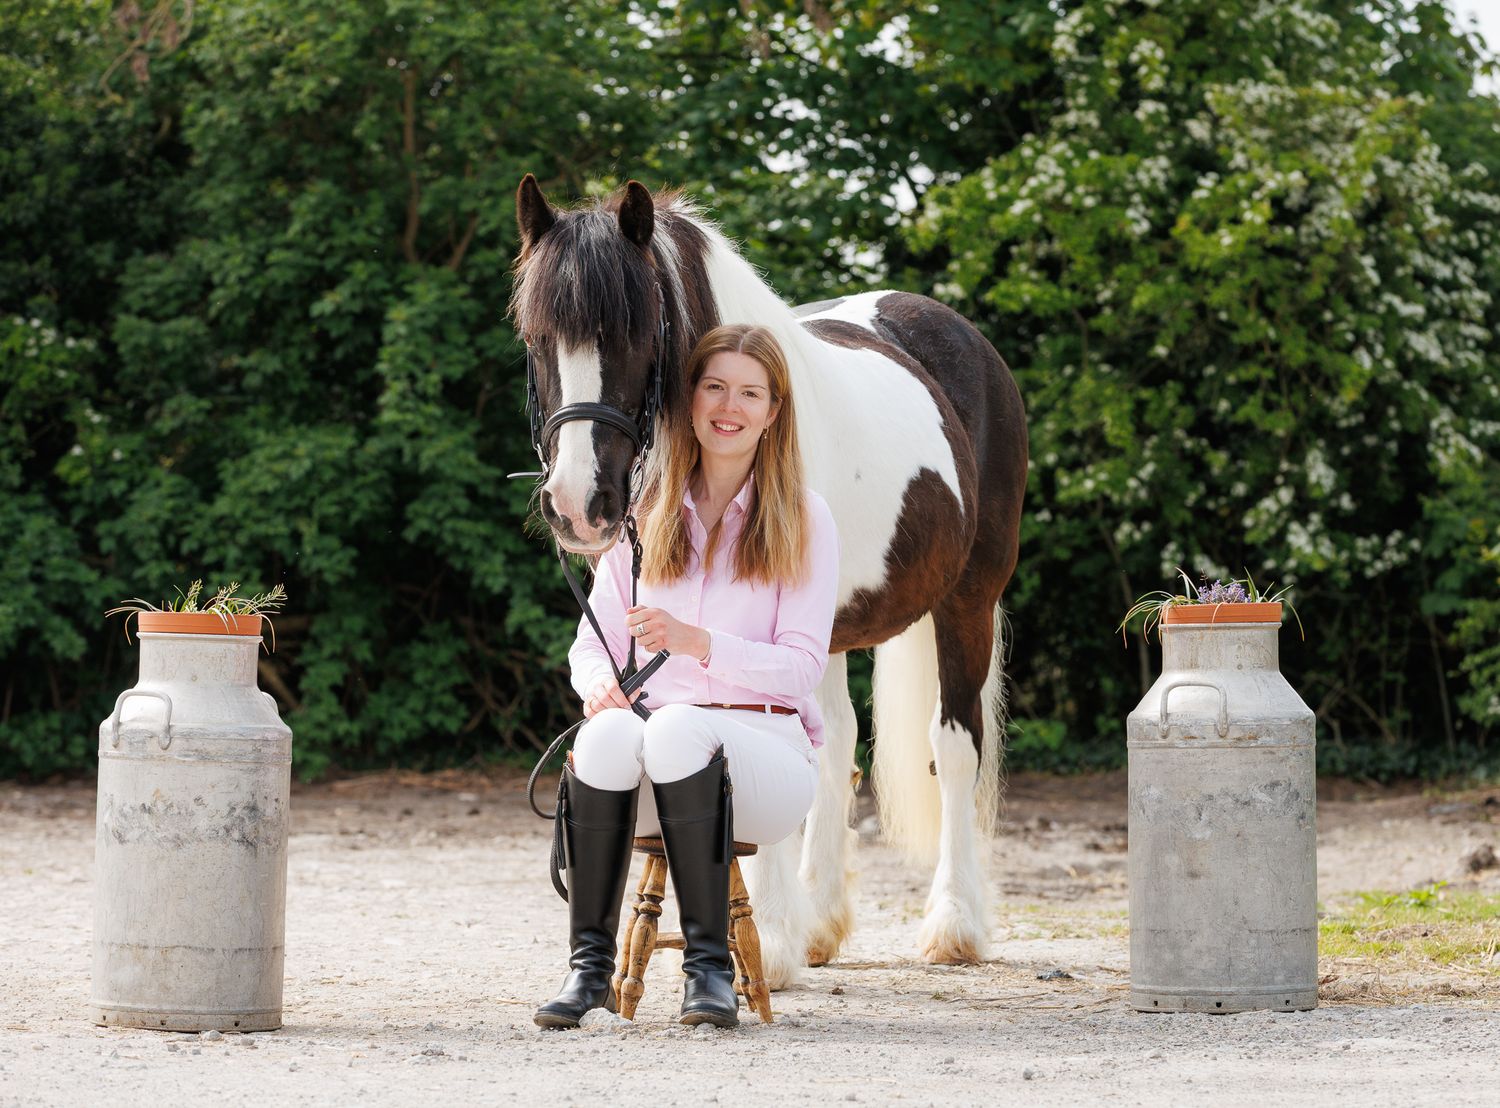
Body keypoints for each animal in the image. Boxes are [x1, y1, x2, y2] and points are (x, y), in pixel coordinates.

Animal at [509, 175, 1026, 987]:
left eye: (634, 335)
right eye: (536, 339)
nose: (577, 506)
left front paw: (769, 947)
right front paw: (772, 936)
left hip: (968, 601)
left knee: (955, 746)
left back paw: (954, 925)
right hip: (839, 630)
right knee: (836, 745)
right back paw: (822, 923)